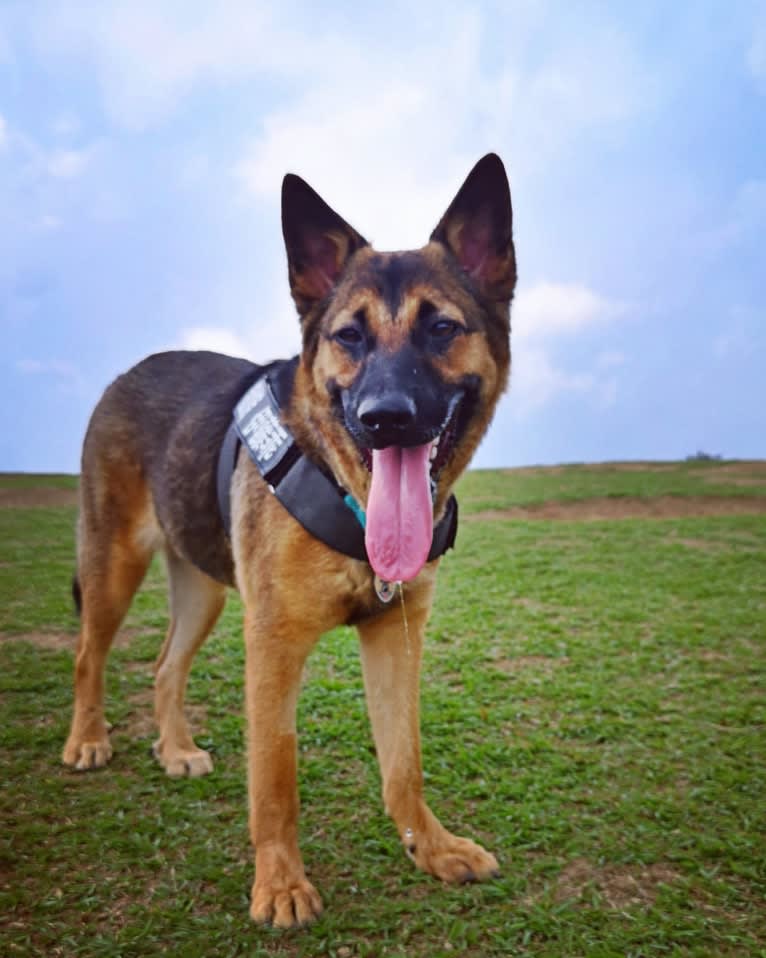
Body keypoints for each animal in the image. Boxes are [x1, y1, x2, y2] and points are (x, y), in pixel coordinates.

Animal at [63, 156, 520, 928]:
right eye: (349, 337)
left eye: (441, 328)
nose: (385, 418)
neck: (346, 489)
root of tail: (129, 372)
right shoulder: (272, 645)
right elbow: (275, 776)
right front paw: (279, 884)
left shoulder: (395, 637)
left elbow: (404, 763)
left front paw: (429, 848)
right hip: (114, 568)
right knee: (88, 655)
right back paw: (88, 740)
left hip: (205, 593)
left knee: (164, 665)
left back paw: (175, 748)